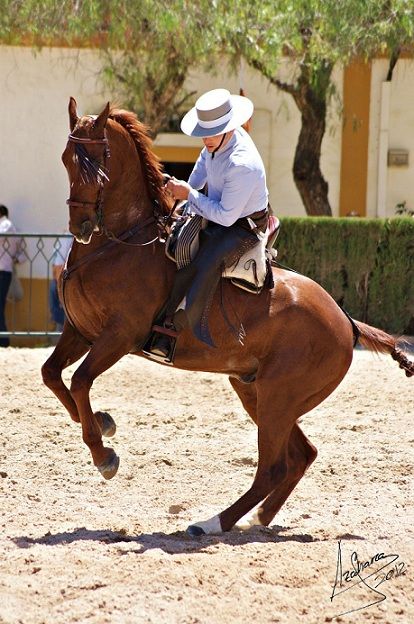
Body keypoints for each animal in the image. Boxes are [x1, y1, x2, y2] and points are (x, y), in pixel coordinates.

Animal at [41, 98, 410, 536]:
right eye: (67, 159)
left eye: (98, 162)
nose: (80, 226)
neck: (122, 243)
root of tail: (345, 321)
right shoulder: (79, 330)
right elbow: (53, 376)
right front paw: (102, 422)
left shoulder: (119, 336)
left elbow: (80, 380)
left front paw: (104, 455)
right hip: (256, 391)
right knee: (301, 455)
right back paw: (259, 518)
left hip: (278, 398)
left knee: (272, 467)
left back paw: (214, 522)